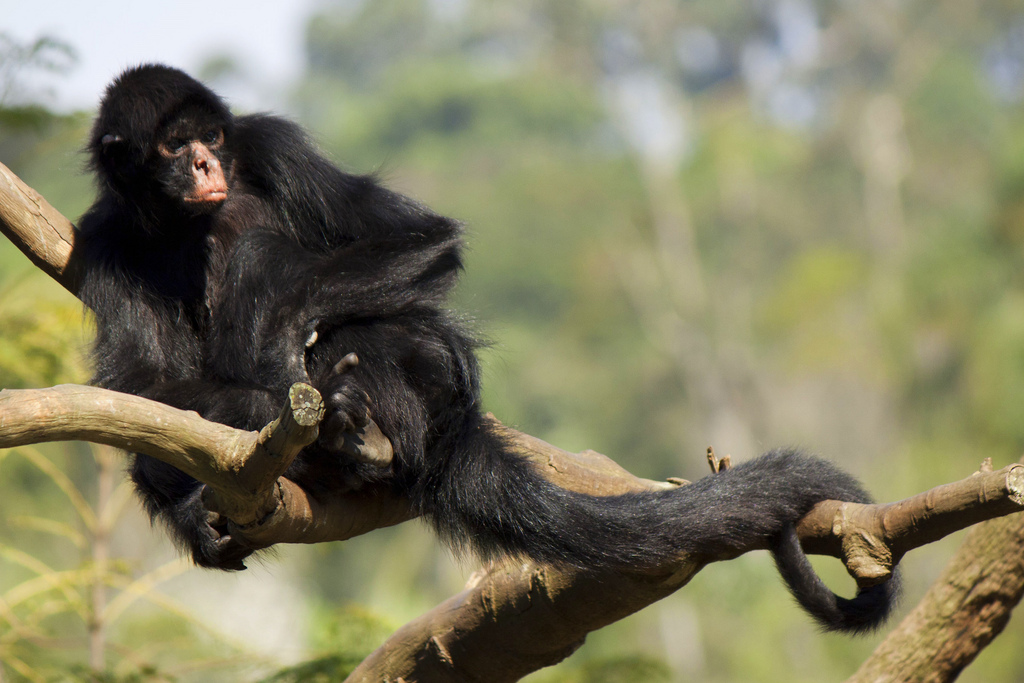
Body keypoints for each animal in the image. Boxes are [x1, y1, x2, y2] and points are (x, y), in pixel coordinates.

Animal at [76, 64, 898, 633]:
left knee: (285, 274)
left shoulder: (271, 144)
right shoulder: (102, 237)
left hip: (426, 369)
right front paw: (236, 429)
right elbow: (136, 389)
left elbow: (426, 238)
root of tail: (454, 427)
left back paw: (352, 434)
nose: (207, 165)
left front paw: (279, 351)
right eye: (175, 146)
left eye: (212, 138)